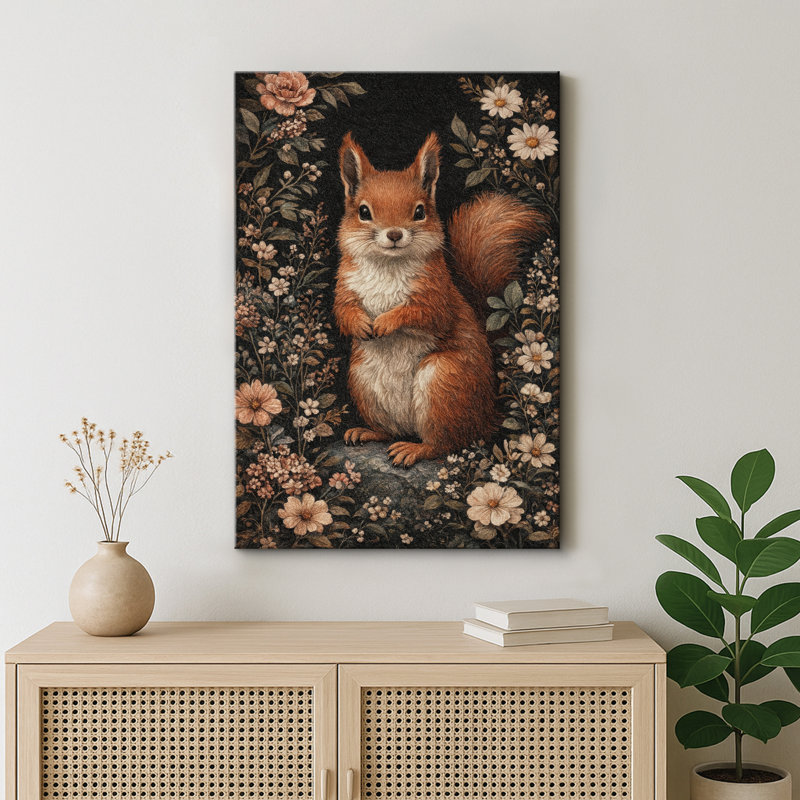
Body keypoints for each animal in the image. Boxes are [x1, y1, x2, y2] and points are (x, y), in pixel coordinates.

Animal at [334, 131, 546, 467]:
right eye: (363, 212)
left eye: (420, 211)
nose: (394, 234)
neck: (388, 264)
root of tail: (486, 414)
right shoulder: (345, 285)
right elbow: (342, 311)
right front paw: (362, 324)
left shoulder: (438, 293)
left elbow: (426, 313)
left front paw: (386, 322)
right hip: (362, 381)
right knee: (392, 431)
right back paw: (366, 432)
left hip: (443, 384)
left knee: (444, 443)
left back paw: (414, 450)